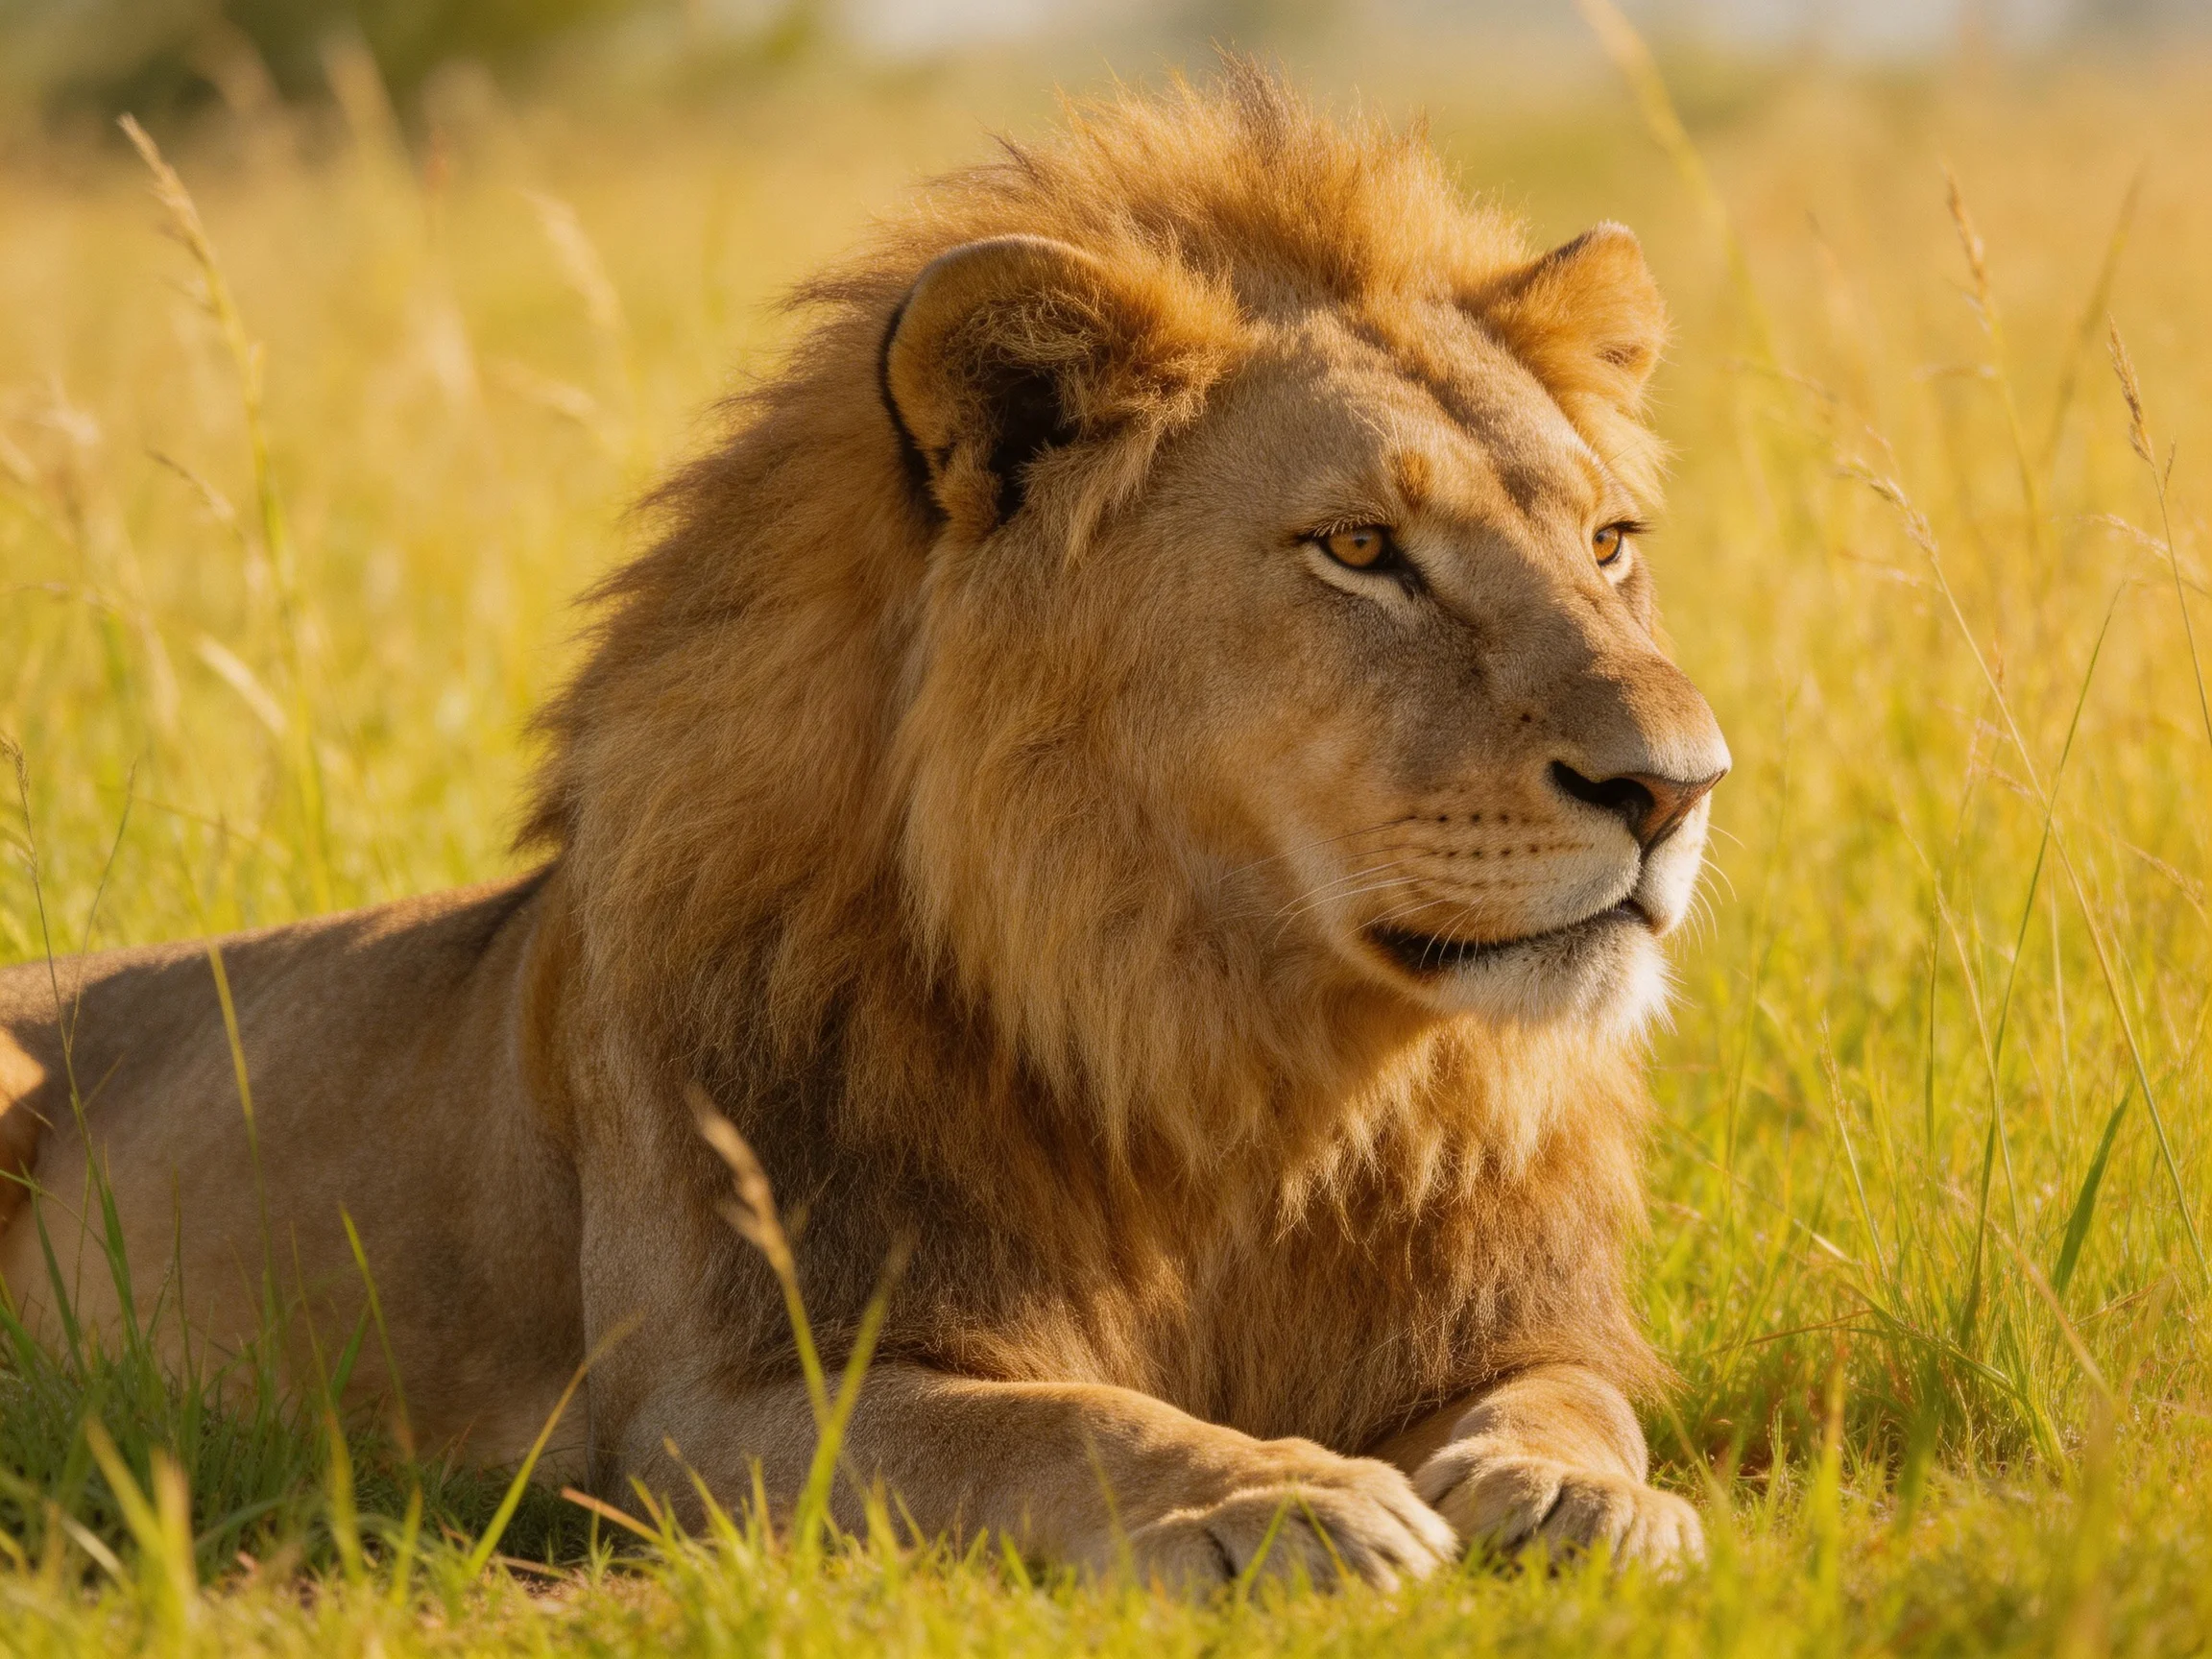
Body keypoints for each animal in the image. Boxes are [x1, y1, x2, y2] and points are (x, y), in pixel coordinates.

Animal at [0, 68, 1727, 1587]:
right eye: (1360, 549)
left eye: (1605, 541)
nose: (1677, 783)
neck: (1217, 1049)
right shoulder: (706, 1408)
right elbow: (1050, 1419)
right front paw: (1273, 1492)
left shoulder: (1513, 1319)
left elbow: (1578, 1401)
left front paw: (1578, 1497)